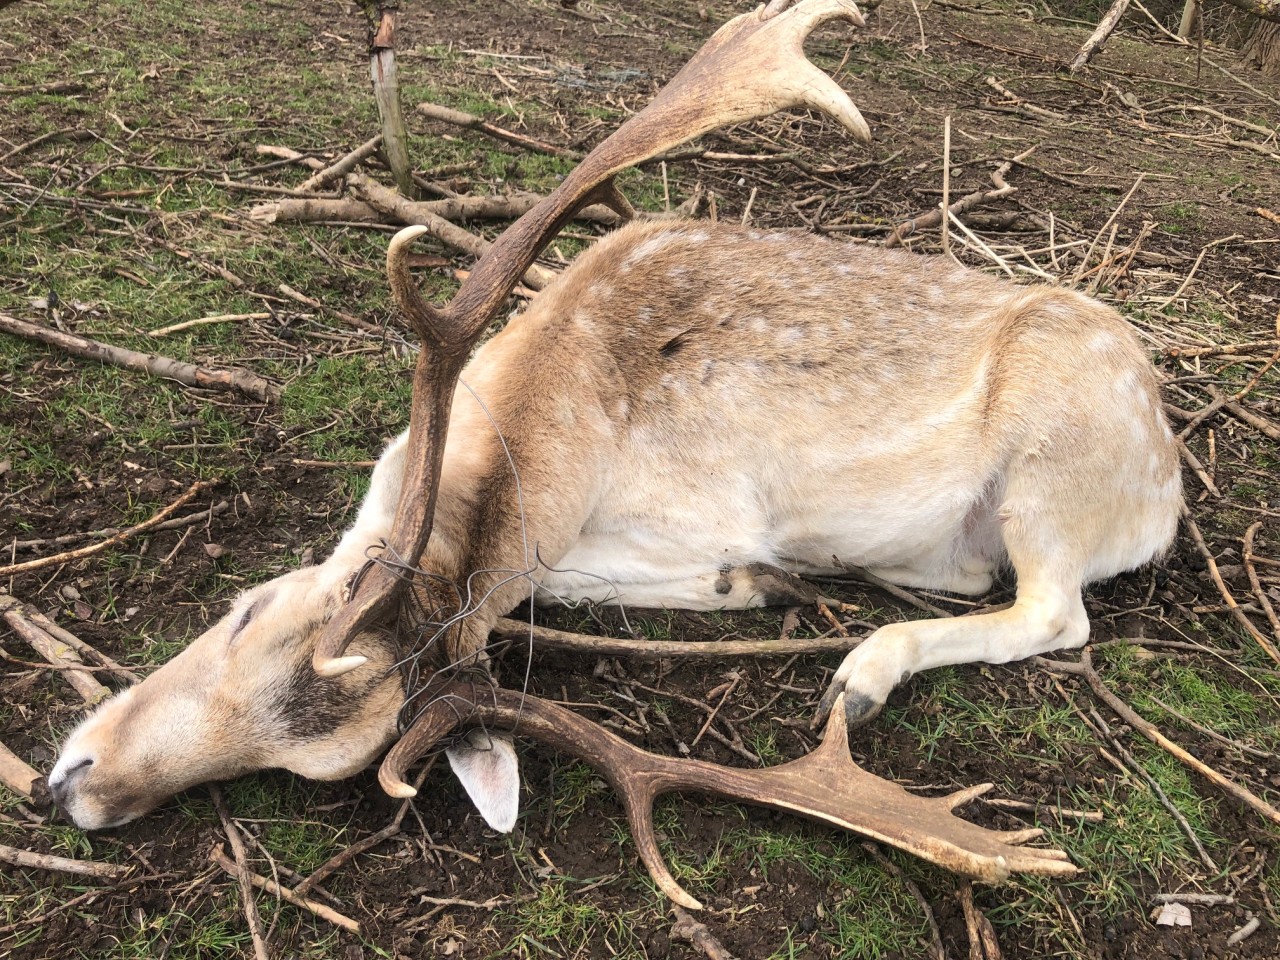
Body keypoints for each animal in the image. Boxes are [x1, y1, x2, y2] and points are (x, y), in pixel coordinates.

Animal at [45, 0, 1182, 911]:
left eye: (254, 612)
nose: (77, 788)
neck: (543, 405)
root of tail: (1166, 492)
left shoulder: (687, 513)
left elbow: (573, 582)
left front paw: (753, 584)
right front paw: (760, 588)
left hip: (1053, 463)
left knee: (1058, 611)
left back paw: (859, 672)